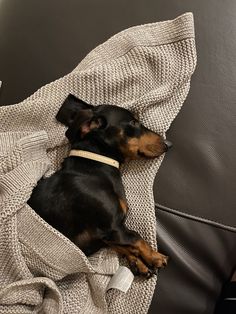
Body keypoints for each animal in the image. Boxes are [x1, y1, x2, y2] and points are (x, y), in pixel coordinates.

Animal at [28, 94, 171, 278]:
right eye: (133, 122)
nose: (168, 144)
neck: (94, 166)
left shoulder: (105, 235)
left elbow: (123, 245)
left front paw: (138, 263)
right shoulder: (112, 227)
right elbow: (136, 238)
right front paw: (155, 257)